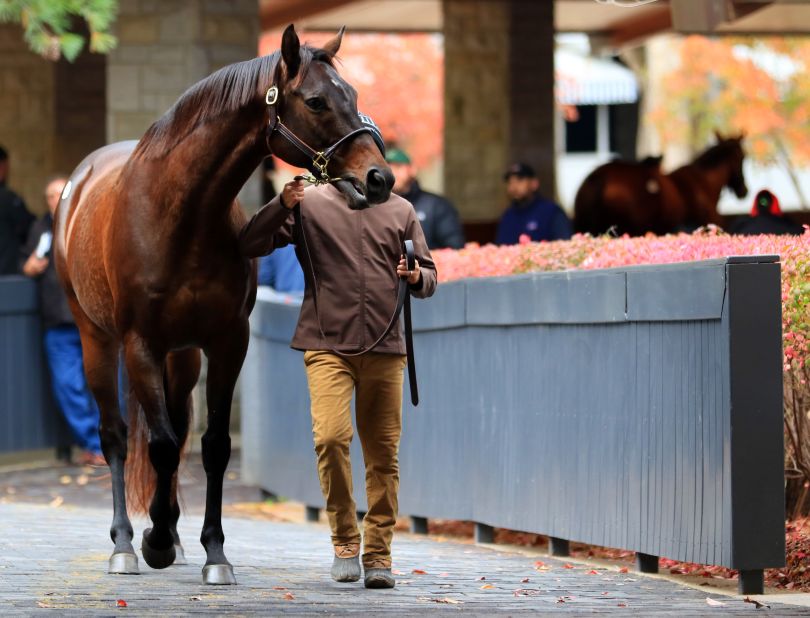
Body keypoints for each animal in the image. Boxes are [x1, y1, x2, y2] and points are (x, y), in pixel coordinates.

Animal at [52, 24, 392, 584]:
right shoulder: (140, 344)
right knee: (117, 436)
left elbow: (210, 446)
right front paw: (154, 541)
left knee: (176, 428)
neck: (182, 217)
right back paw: (126, 542)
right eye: (316, 101)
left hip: (183, 356)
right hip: (97, 341)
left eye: (356, 96)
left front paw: (210, 550)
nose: (379, 179)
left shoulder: (227, 342)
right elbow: (159, 444)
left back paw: (168, 534)